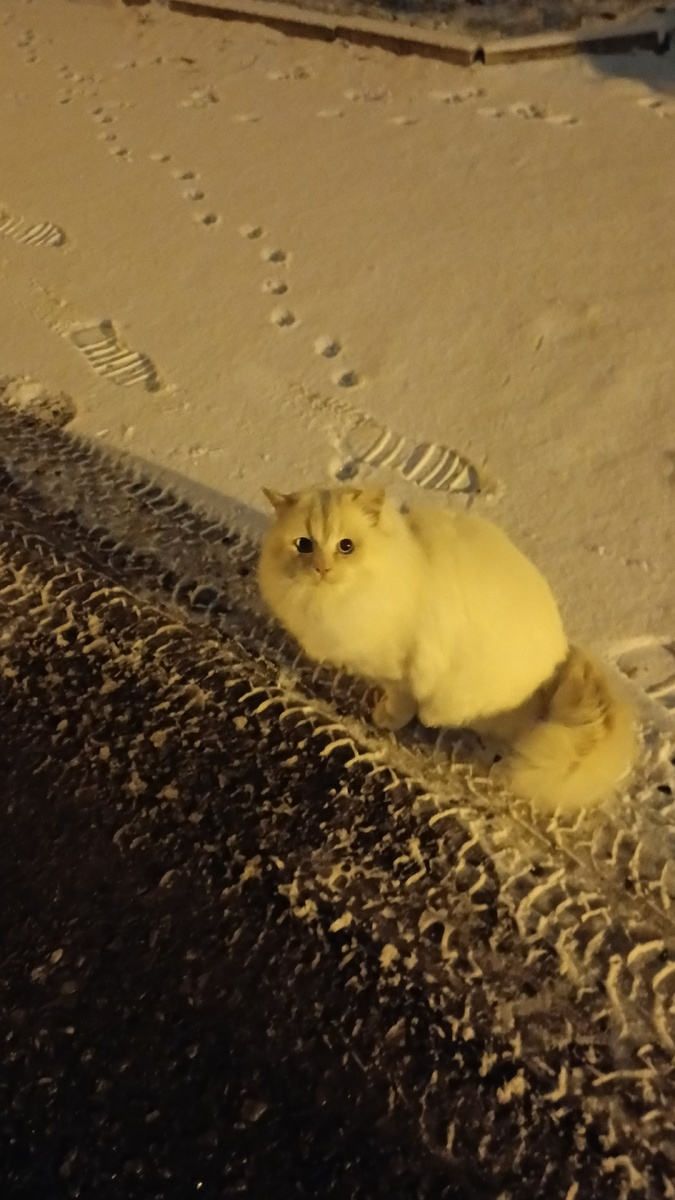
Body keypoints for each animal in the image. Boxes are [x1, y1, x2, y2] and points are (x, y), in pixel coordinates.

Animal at [258, 485, 638, 811]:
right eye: (304, 545)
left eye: (346, 546)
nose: (321, 568)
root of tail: (560, 659)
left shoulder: (401, 672)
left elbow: (400, 700)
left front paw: (386, 717)